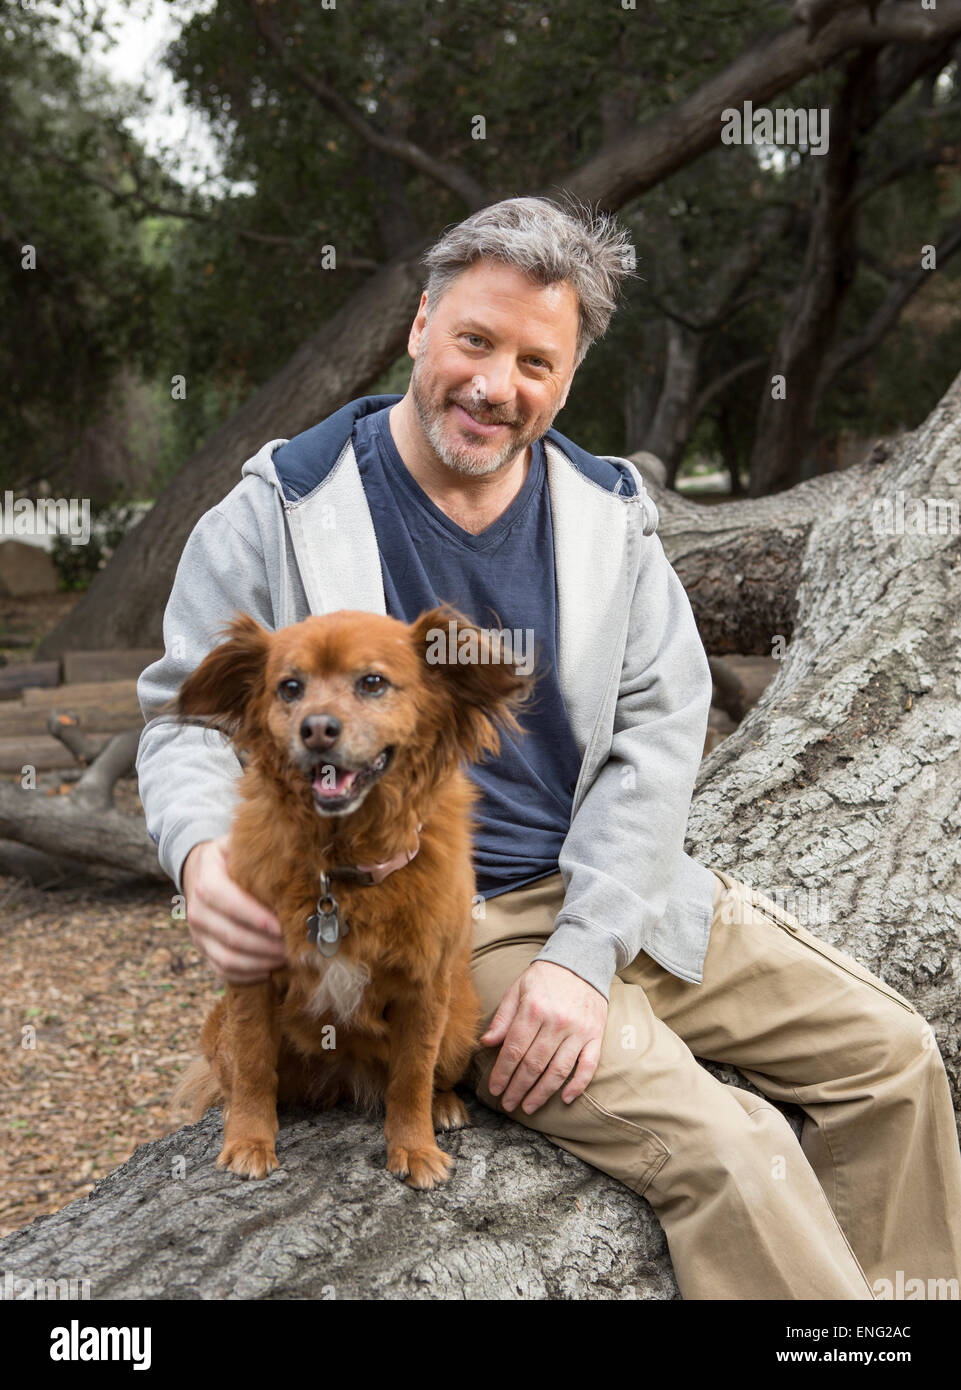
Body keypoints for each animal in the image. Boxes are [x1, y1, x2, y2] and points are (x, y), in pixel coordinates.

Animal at [173, 603, 531, 1189]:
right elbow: (252, 1065)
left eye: (373, 683)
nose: (317, 729)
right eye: (289, 687)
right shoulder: (250, 978)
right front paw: (249, 1139)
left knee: (432, 1074)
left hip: (460, 1024)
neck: (340, 867)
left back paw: (443, 1106)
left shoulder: (425, 989)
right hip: (217, 1030)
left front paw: (414, 1147)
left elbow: (411, 1076)